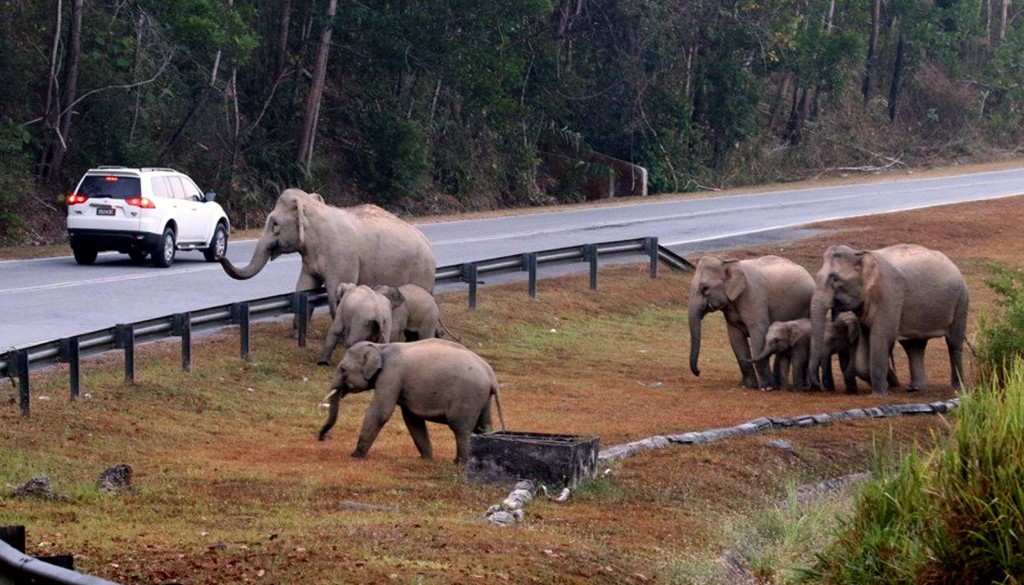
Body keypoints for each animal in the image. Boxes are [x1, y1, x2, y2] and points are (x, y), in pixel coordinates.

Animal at [220, 188, 436, 319]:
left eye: (274, 224)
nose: (219, 255)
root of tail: (428, 244)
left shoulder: (342, 258)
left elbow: (335, 292)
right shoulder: (310, 259)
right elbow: (304, 288)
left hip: (421, 274)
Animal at [318, 339, 507, 463]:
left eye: (343, 369)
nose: (323, 437)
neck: (381, 347)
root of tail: (492, 377)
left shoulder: (391, 374)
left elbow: (381, 412)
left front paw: (355, 455)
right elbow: (411, 418)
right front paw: (427, 459)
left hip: (468, 396)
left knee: (461, 428)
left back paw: (459, 463)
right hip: (482, 398)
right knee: (484, 426)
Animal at [688, 255, 816, 390]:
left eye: (705, 288)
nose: (698, 372)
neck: (727, 264)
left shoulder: (753, 298)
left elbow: (758, 336)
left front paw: (767, 388)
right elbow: (736, 339)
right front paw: (747, 386)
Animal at [808, 244, 969, 395]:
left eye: (835, 278)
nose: (819, 387)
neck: (859, 254)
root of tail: (952, 263)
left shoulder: (889, 293)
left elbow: (882, 335)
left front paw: (879, 394)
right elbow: (865, 339)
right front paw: (884, 384)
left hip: (961, 299)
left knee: (954, 341)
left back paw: (957, 388)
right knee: (914, 345)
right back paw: (915, 388)